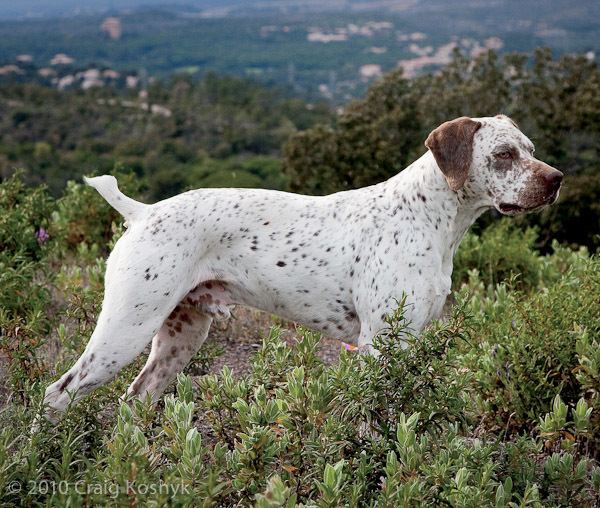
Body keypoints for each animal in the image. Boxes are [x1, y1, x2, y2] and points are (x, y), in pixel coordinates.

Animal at [41, 116, 564, 420]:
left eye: (531, 148)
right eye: (504, 154)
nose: (557, 179)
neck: (428, 215)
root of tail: (143, 212)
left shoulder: (409, 342)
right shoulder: (380, 345)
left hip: (179, 337)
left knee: (134, 400)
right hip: (126, 329)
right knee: (58, 393)